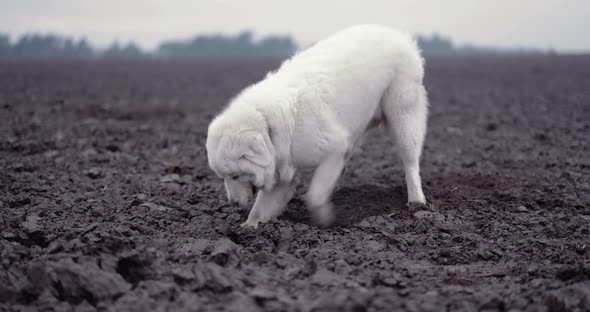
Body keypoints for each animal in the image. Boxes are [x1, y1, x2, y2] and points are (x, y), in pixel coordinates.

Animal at [206, 24, 428, 229]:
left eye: (235, 175)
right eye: (222, 177)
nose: (233, 204)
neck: (268, 126)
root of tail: (396, 33)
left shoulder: (333, 148)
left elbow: (315, 195)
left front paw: (324, 220)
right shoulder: (282, 170)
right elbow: (260, 207)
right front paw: (248, 228)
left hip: (403, 119)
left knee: (410, 163)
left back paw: (416, 201)